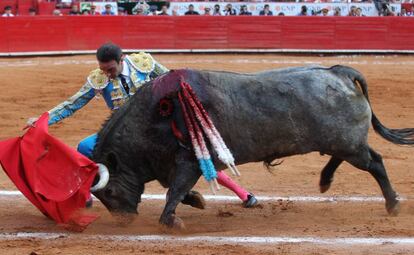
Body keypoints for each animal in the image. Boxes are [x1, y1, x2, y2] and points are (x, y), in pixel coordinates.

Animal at [90, 64, 414, 228]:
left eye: (110, 192)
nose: (124, 220)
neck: (154, 118)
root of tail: (340, 72)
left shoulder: (188, 162)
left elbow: (174, 191)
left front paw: (170, 220)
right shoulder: (179, 165)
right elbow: (178, 190)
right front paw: (195, 201)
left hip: (348, 143)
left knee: (374, 162)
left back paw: (393, 204)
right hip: (341, 141)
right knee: (344, 157)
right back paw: (325, 181)